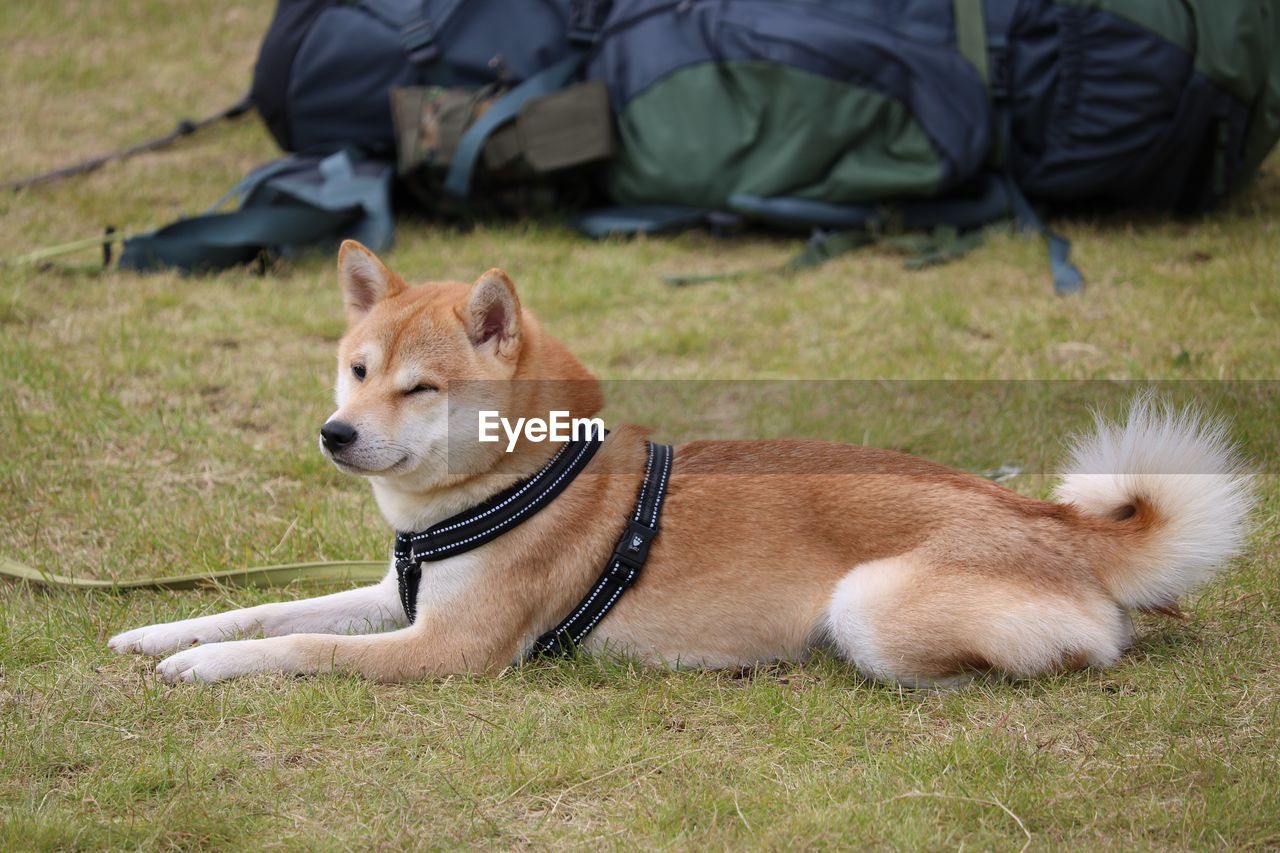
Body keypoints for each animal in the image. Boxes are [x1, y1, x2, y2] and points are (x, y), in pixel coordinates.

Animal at [107, 239, 1249, 686]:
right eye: (354, 370)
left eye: (419, 388)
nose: (335, 433)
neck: (498, 491)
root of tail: (1057, 527)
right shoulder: (400, 600)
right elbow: (266, 608)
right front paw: (160, 632)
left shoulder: (448, 647)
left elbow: (297, 645)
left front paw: (206, 669)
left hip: (868, 605)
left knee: (1082, 649)